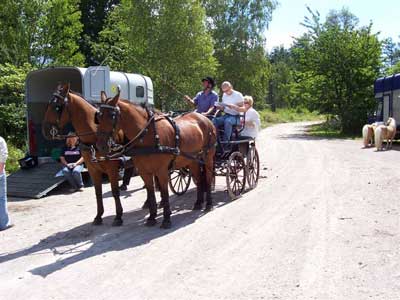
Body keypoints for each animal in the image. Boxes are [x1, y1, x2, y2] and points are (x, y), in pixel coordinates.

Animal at [41, 84, 124, 225]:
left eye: (56, 106)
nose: (45, 130)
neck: (94, 136)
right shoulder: (92, 168)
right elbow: (98, 192)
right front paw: (98, 216)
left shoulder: (112, 169)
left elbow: (115, 192)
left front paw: (118, 216)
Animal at [95, 90, 217, 229]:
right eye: (98, 116)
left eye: (112, 116)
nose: (100, 146)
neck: (148, 135)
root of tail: (205, 118)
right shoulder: (144, 172)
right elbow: (151, 193)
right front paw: (152, 217)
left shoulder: (162, 171)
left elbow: (164, 193)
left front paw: (166, 219)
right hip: (193, 160)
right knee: (199, 179)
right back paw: (198, 203)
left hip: (208, 157)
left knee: (208, 178)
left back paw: (209, 204)